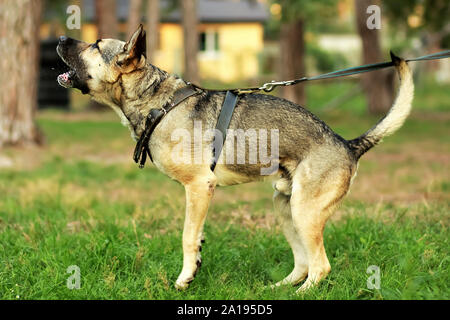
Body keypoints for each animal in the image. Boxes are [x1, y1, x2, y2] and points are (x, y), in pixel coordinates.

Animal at [56, 23, 414, 292]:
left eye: (95, 44)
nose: (59, 38)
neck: (158, 102)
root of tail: (348, 144)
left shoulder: (199, 186)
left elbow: (187, 237)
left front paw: (185, 278)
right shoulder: (201, 195)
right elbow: (196, 235)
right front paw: (195, 266)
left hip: (304, 211)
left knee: (320, 266)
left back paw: (301, 293)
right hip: (285, 207)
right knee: (303, 263)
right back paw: (278, 289)